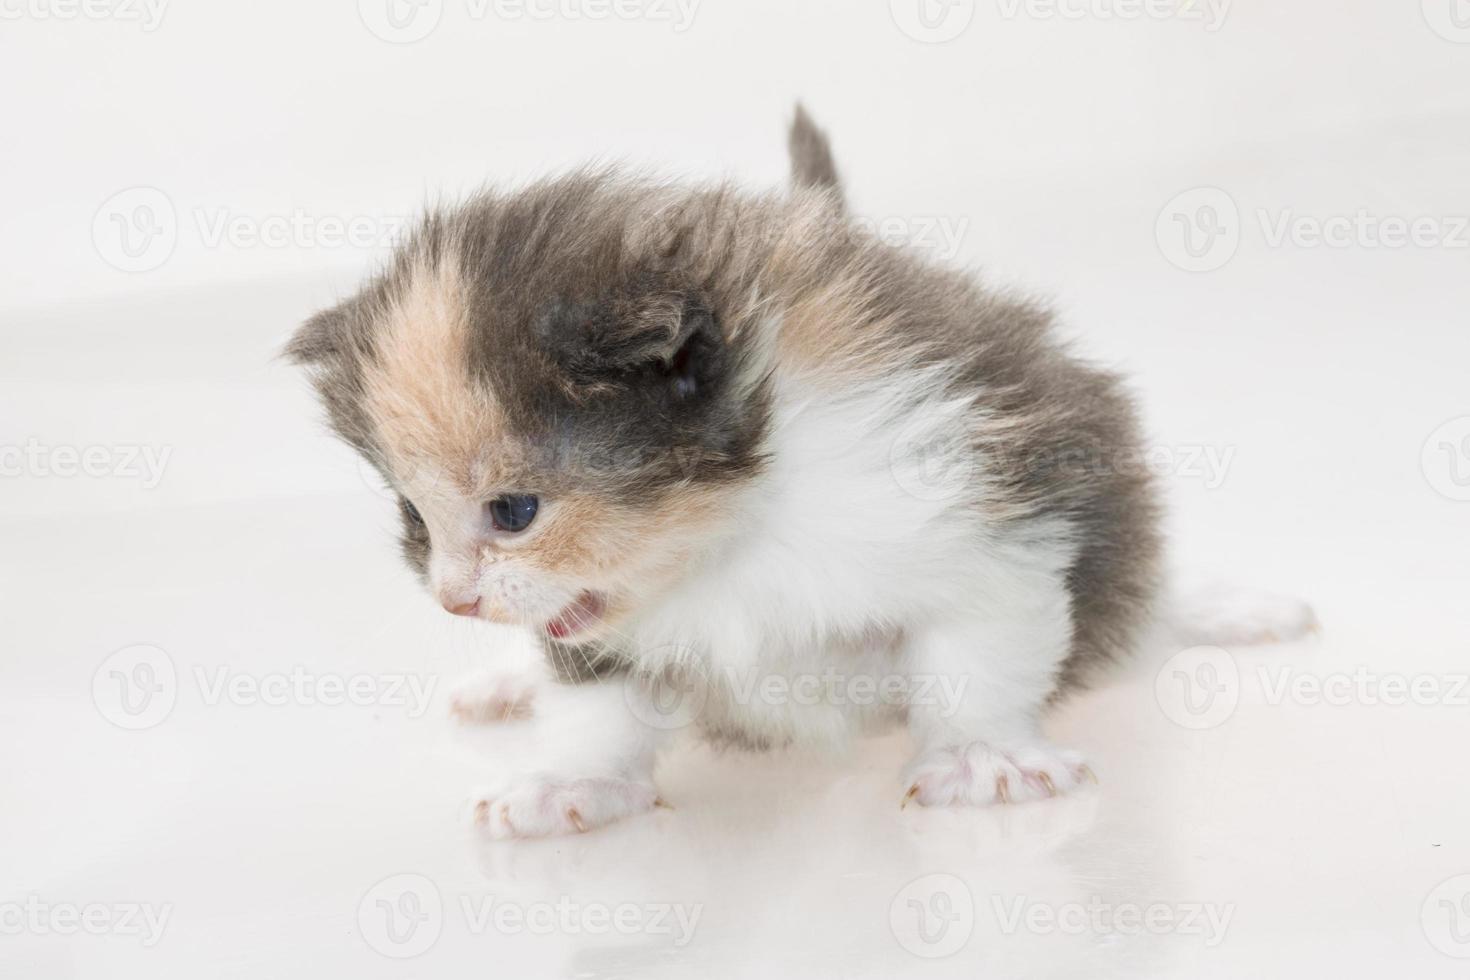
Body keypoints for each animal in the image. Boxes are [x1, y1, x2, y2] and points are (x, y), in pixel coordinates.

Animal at [283, 109, 1311, 846]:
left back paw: (1227, 608)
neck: (736, 533)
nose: (454, 599)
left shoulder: (986, 498)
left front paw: (981, 756)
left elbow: (978, 646)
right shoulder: (596, 620)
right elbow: (598, 702)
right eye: (416, 521)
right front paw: (575, 780)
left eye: (514, 510)